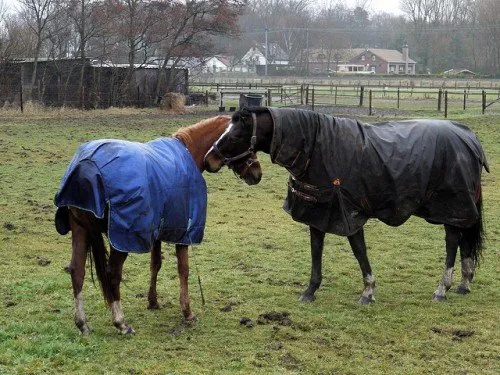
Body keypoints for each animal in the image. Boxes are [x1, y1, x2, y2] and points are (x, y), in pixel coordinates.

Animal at [55, 116, 262, 336]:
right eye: (242, 139)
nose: (257, 172)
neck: (189, 153)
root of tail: (86, 167)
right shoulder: (184, 233)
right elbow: (183, 270)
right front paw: (187, 312)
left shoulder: (157, 230)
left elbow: (155, 264)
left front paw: (152, 301)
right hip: (121, 238)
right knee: (112, 274)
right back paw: (121, 322)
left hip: (81, 230)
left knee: (77, 271)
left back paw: (82, 323)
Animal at [204, 108, 488, 306]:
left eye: (235, 134)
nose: (209, 160)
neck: (315, 148)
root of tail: (469, 138)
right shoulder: (317, 213)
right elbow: (316, 252)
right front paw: (310, 291)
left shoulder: (348, 215)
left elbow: (359, 252)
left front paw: (368, 291)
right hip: (460, 208)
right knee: (464, 238)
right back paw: (464, 283)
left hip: (451, 206)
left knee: (452, 241)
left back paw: (442, 289)